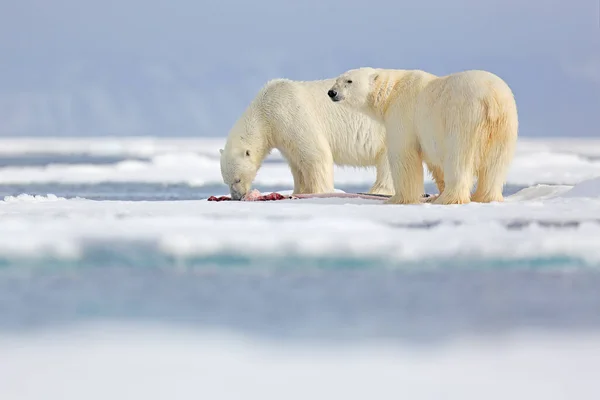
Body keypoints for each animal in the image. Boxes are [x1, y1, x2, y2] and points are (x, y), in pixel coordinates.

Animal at [219, 77, 394, 200]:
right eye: (226, 181)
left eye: (237, 180)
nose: (237, 197)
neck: (265, 112)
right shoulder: (283, 136)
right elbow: (296, 163)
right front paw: (299, 190)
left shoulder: (291, 115)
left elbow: (315, 154)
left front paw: (319, 191)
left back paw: (378, 190)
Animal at [326, 67, 516, 205]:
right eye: (337, 80)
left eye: (349, 81)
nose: (331, 92)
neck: (392, 91)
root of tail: (491, 99)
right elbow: (434, 162)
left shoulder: (403, 113)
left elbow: (404, 155)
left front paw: (398, 199)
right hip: (505, 125)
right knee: (495, 165)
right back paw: (485, 197)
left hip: (462, 118)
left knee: (458, 159)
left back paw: (448, 199)